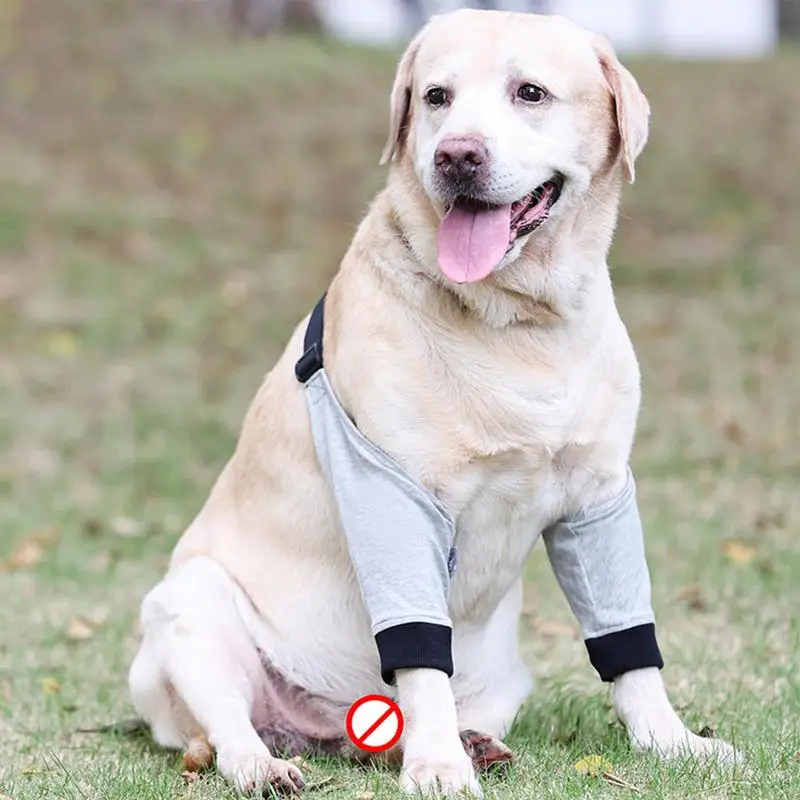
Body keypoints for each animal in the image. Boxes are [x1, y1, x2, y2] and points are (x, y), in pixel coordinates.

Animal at [128, 9, 736, 796]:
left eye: (530, 92)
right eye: (436, 96)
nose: (457, 156)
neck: (519, 325)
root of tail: (330, 729)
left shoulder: (599, 498)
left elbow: (629, 646)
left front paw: (672, 741)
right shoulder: (391, 490)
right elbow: (420, 657)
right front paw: (439, 766)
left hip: (505, 671)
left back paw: (469, 741)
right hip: (191, 606)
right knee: (229, 724)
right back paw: (270, 763)